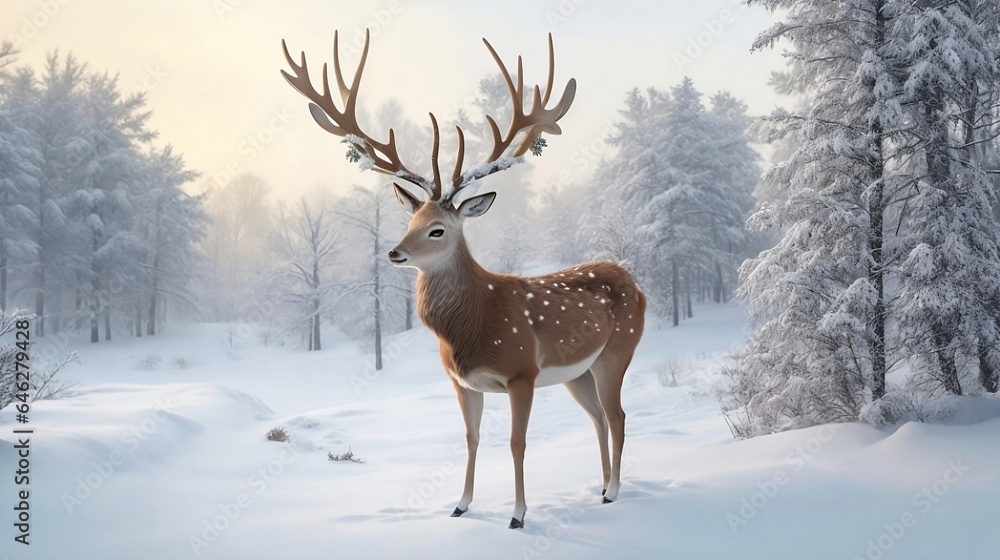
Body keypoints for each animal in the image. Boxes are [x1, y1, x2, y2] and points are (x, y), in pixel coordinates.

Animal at [281, 30, 646, 529]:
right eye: (411, 219)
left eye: (438, 229)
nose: (394, 252)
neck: (472, 327)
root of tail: (635, 281)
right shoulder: (461, 382)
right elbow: (471, 439)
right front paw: (460, 505)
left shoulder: (521, 372)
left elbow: (516, 442)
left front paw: (518, 515)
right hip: (578, 372)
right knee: (597, 418)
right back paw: (603, 490)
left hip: (617, 351)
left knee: (619, 415)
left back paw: (614, 489)